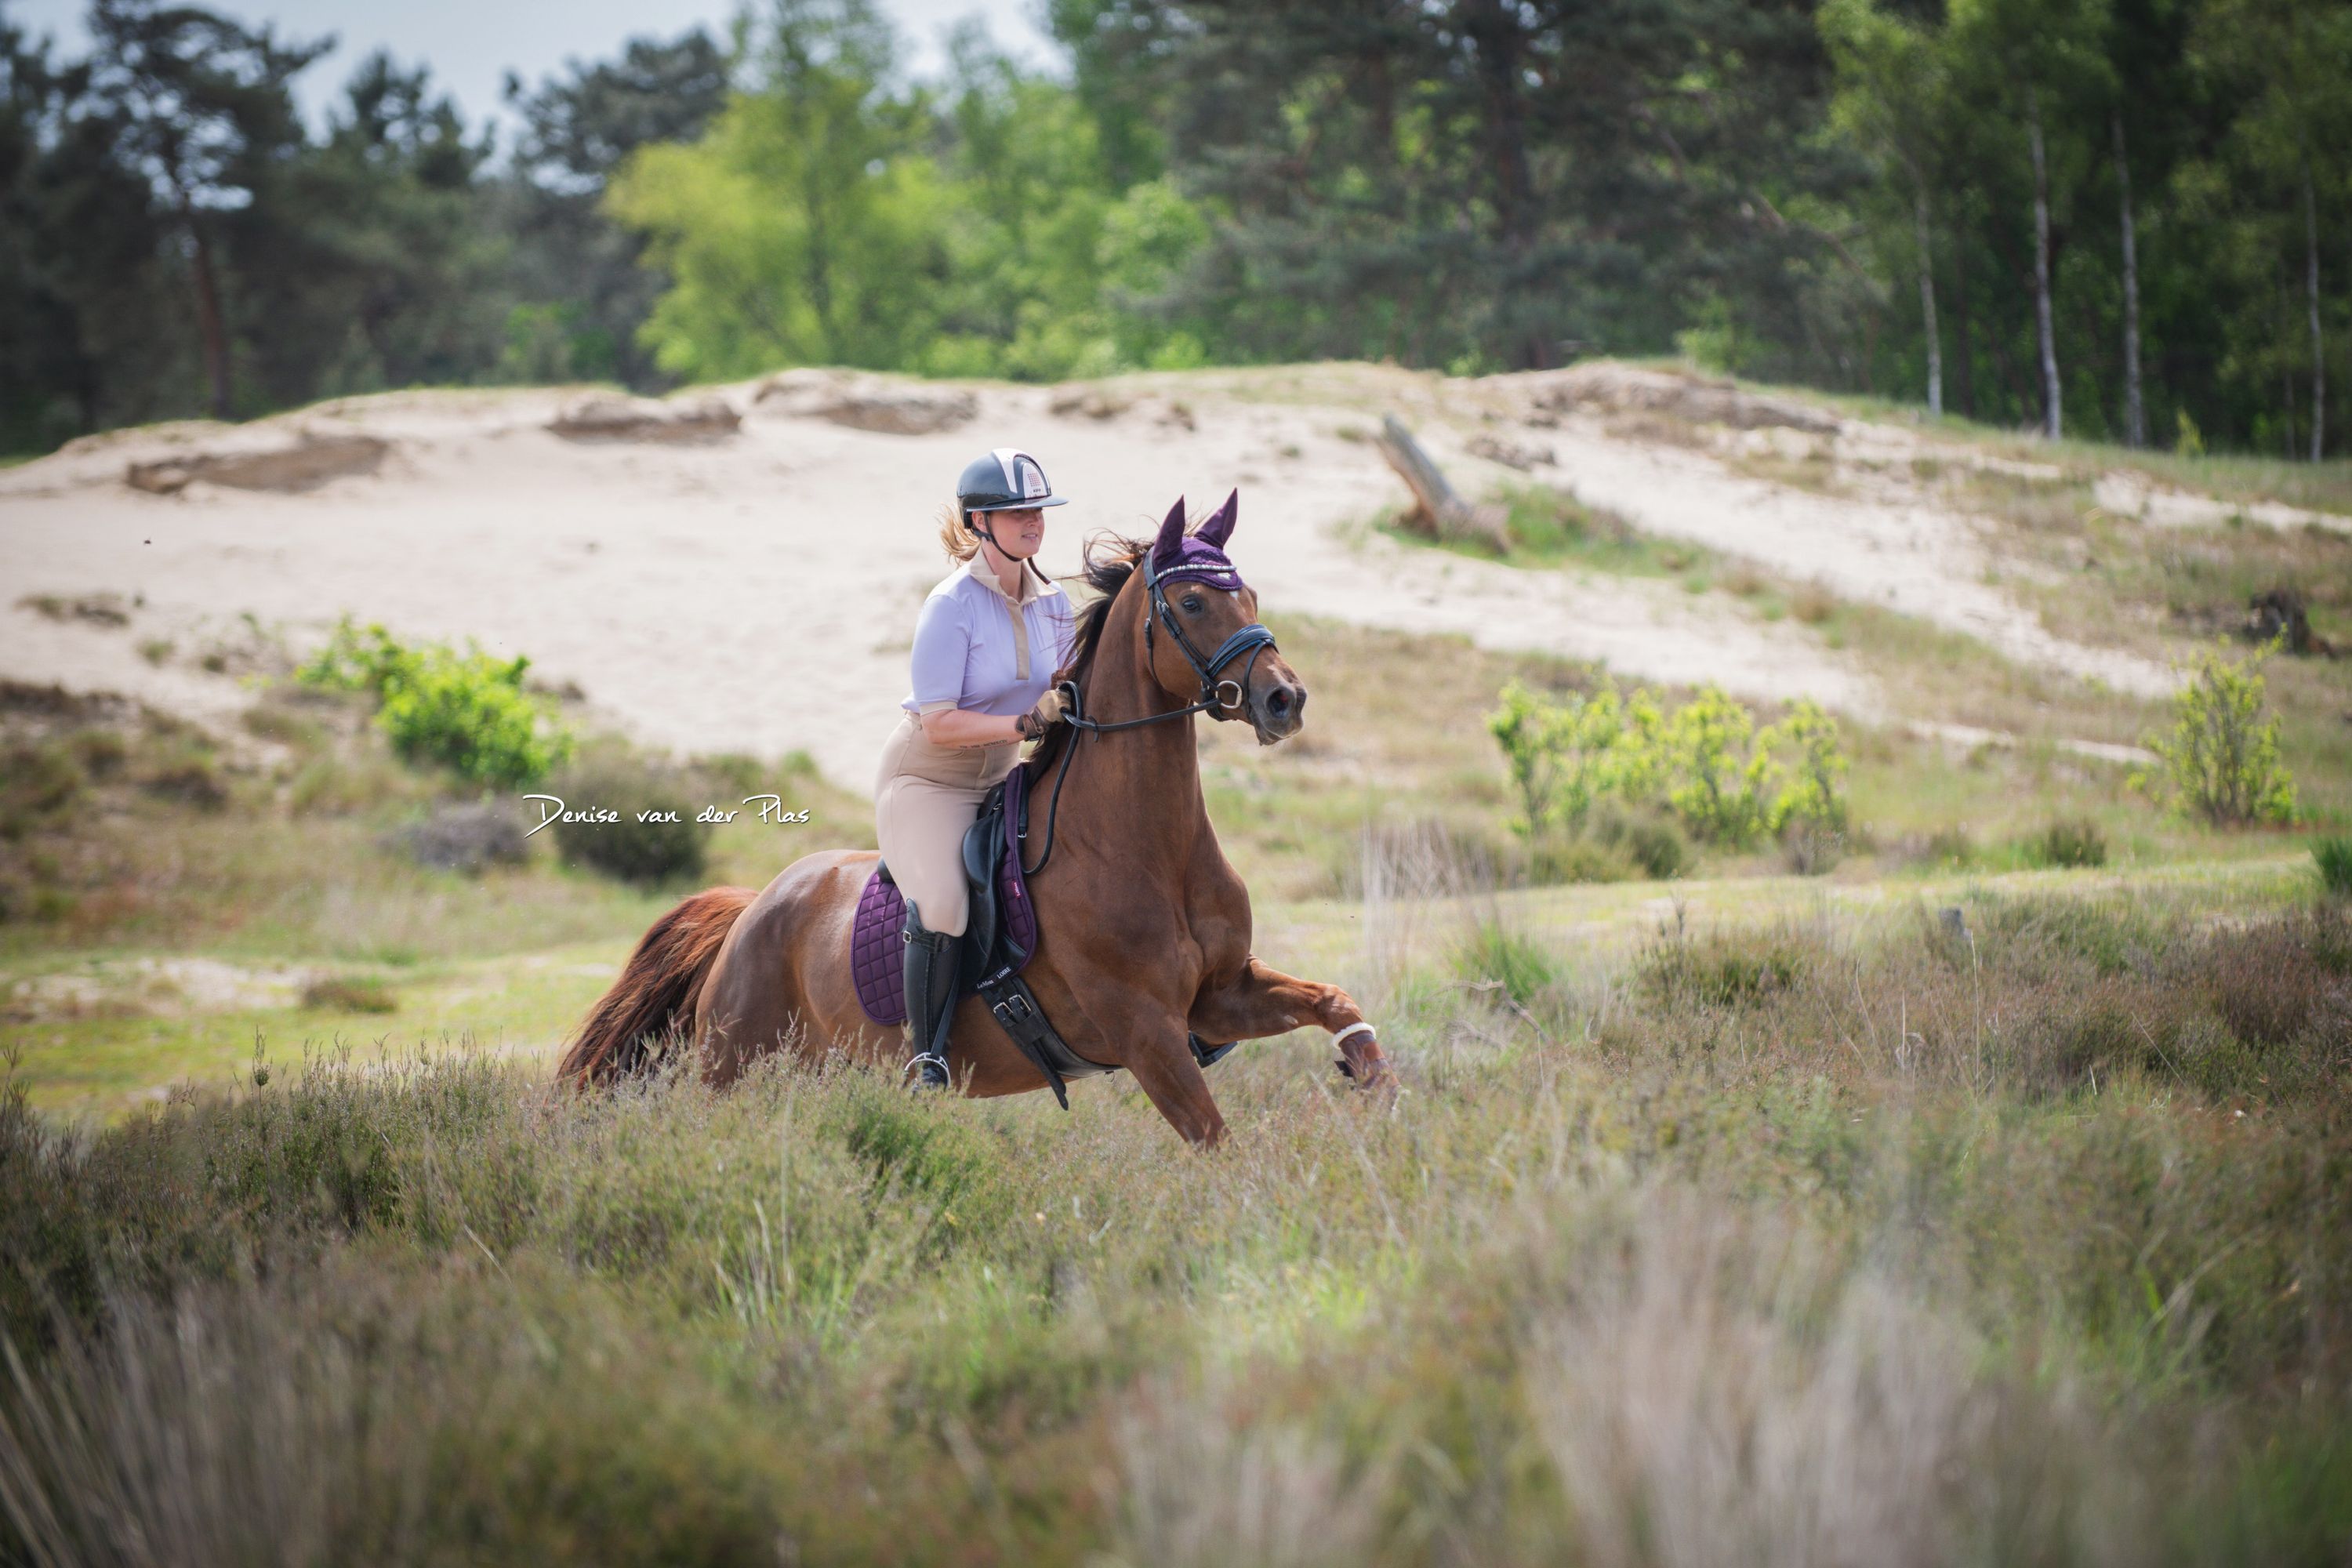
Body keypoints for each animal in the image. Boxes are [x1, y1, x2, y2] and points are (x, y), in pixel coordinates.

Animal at [553, 490, 1390, 1145]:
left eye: (1249, 598)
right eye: (1191, 603)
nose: (1285, 700)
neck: (1148, 846)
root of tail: (751, 910)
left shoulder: (1219, 997)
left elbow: (1333, 1002)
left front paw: (1376, 1081)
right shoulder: (1147, 1032)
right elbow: (1217, 1141)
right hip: (732, 1070)